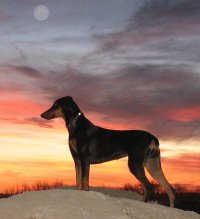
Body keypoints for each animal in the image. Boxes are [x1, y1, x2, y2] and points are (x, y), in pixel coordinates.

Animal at [40, 96, 175, 207]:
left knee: (149, 187)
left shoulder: (84, 159)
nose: (42, 115)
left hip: (135, 164)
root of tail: (153, 137)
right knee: (170, 190)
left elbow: (84, 182)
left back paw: (142, 203)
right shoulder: (77, 160)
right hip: (153, 166)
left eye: (56, 105)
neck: (76, 125)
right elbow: (78, 182)